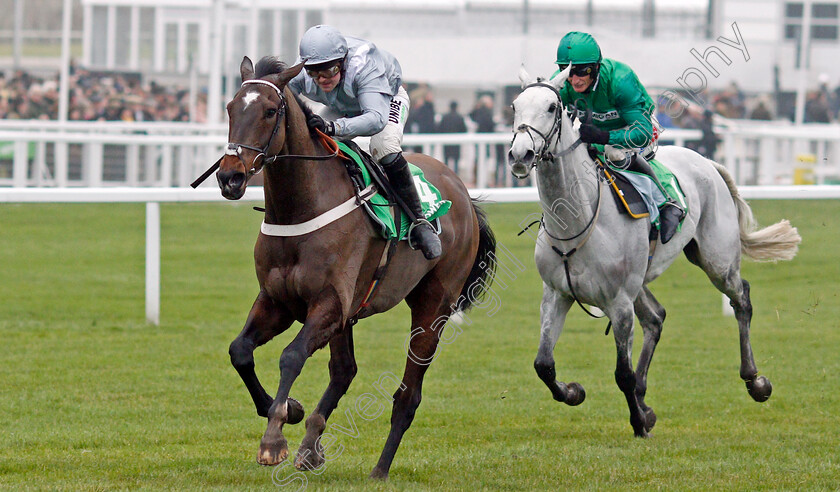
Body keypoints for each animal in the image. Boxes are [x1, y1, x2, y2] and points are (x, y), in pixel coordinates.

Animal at [215, 55, 498, 478]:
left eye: (268, 111)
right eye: (231, 108)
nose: (229, 176)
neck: (300, 208)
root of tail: (462, 191)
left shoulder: (329, 304)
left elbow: (291, 356)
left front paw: (274, 440)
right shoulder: (280, 302)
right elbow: (240, 351)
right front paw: (288, 411)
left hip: (434, 305)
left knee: (408, 395)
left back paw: (379, 469)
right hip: (349, 315)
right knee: (344, 370)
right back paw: (311, 446)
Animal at [506, 66, 800, 438]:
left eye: (551, 107)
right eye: (515, 106)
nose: (520, 155)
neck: (578, 219)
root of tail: (707, 161)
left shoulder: (619, 302)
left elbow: (622, 373)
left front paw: (638, 423)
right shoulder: (557, 294)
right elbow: (543, 364)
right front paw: (575, 392)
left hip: (716, 260)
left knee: (742, 299)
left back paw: (754, 381)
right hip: (641, 279)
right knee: (656, 319)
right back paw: (645, 398)